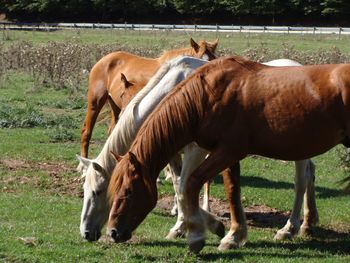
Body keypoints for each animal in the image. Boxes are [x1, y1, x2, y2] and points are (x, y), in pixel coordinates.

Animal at [78, 37, 219, 163]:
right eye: (200, 58)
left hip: (116, 107)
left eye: (214, 59)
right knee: (86, 131)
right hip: (95, 102)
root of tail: (103, 59)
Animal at [106, 56, 350, 256]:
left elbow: (190, 184)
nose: (113, 233)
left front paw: (197, 235)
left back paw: (289, 228)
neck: (207, 96)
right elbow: (232, 191)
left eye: (128, 191)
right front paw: (234, 235)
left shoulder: (225, 151)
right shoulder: (226, 155)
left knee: (301, 181)